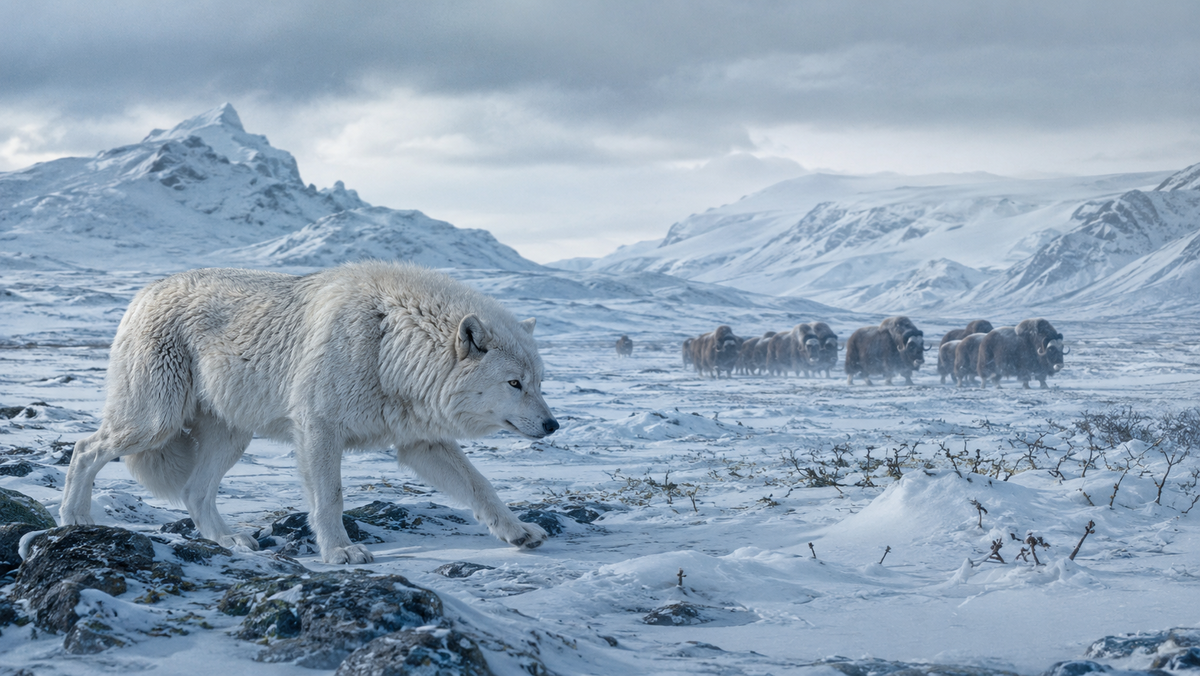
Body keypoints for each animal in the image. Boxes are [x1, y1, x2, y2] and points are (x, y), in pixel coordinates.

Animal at [60, 261, 558, 564]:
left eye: (538, 381)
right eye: (514, 384)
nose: (553, 425)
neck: (388, 347)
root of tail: (143, 292)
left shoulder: (421, 443)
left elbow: (481, 487)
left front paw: (518, 532)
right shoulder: (319, 428)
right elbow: (330, 498)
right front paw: (341, 552)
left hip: (231, 436)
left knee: (195, 492)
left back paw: (230, 540)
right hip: (154, 421)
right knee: (86, 448)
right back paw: (75, 519)